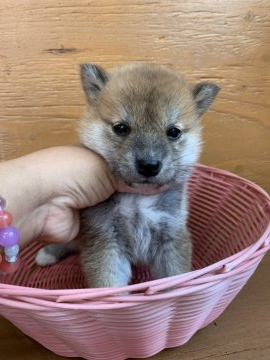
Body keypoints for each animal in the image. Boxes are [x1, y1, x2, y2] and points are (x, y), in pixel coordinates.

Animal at [35, 62, 218, 286]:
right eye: (121, 128)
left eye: (173, 132)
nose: (149, 165)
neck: (138, 199)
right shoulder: (104, 238)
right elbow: (108, 284)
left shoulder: (171, 235)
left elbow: (175, 278)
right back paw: (48, 253)